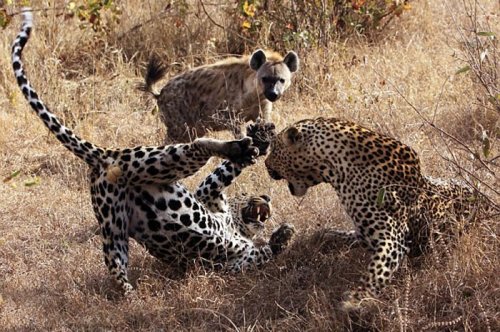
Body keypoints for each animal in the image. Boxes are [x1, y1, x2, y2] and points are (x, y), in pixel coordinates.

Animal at [139, 48, 298, 142]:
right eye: (265, 78)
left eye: (281, 80)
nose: (273, 94)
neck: (253, 95)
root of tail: (160, 93)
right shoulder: (228, 116)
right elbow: (239, 134)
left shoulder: (263, 109)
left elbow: (265, 125)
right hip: (178, 123)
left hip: (193, 128)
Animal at [252, 117, 482, 312]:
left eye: (275, 149)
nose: (265, 164)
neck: (337, 169)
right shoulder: (363, 234)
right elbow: (332, 234)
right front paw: (314, 239)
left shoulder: (393, 239)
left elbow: (377, 269)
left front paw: (356, 300)